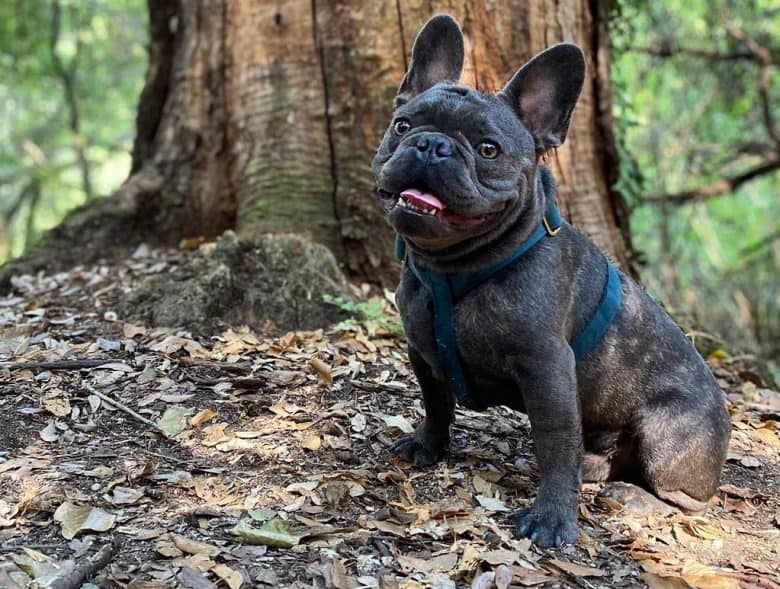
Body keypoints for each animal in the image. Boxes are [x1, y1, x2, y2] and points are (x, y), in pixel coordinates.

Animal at [372, 13, 732, 548]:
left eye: (488, 149)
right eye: (404, 125)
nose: (432, 146)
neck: (452, 270)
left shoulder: (547, 367)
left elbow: (556, 444)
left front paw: (552, 519)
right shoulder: (423, 351)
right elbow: (436, 403)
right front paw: (428, 445)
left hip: (665, 435)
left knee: (687, 500)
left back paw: (634, 498)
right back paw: (598, 469)